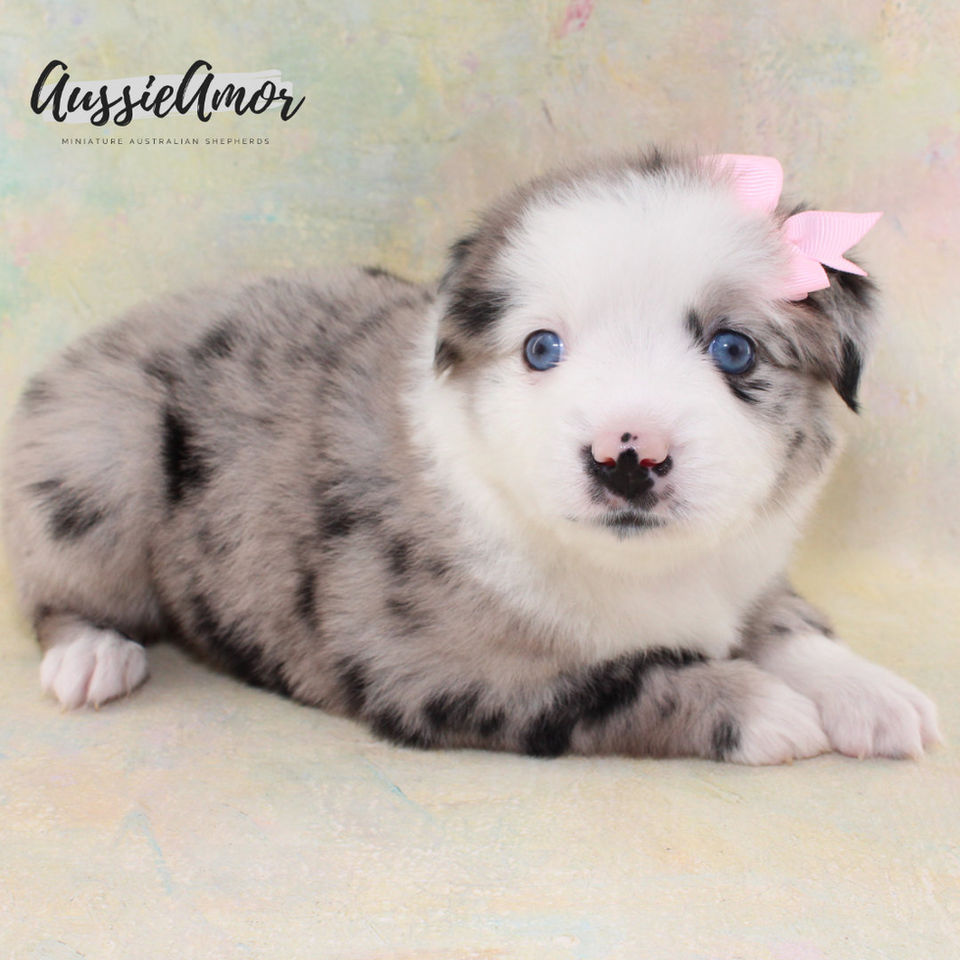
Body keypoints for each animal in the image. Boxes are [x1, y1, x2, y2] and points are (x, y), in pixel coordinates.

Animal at [1, 149, 940, 763]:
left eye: (735, 351)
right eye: (541, 349)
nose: (627, 457)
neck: (642, 570)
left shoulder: (744, 569)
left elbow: (787, 621)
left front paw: (871, 693)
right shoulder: (434, 666)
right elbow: (620, 680)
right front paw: (764, 707)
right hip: (97, 456)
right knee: (53, 593)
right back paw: (92, 656)